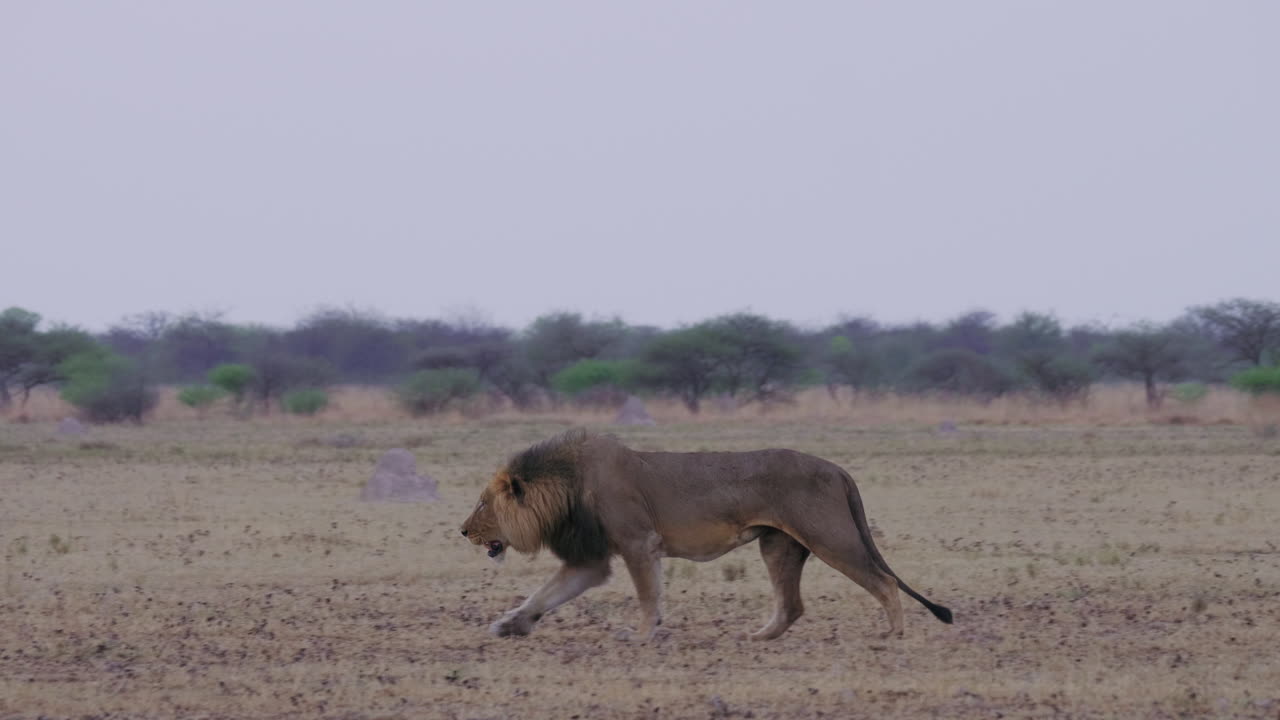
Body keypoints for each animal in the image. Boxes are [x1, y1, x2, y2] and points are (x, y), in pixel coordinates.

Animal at [460, 429, 952, 641]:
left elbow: (647, 595)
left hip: (829, 536)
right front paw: (511, 624)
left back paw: (893, 634)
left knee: (883, 581)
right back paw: (758, 637)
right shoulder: (591, 560)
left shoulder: (639, 543)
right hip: (779, 544)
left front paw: (641, 634)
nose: (463, 530)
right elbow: (545, 594)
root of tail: (837, 468)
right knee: (792, 604)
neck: (567, 487)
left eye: (483, 504)